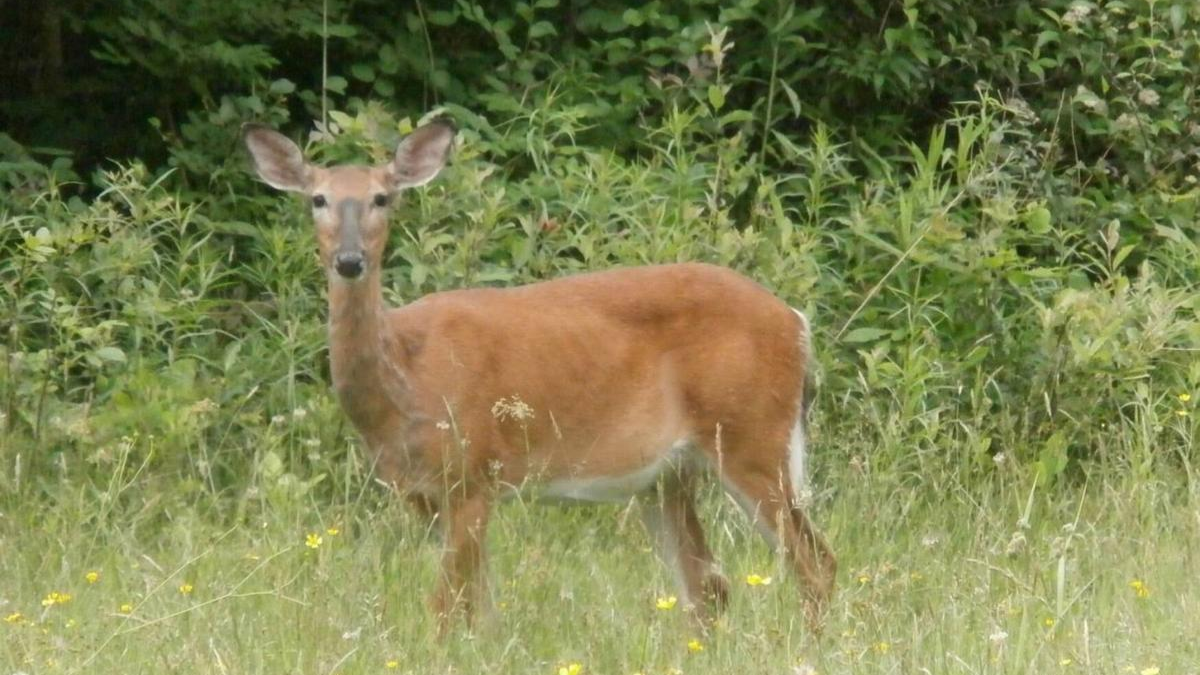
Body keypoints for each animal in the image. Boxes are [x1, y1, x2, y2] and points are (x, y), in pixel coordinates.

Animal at [243, 117, 840, 629]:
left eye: (381, 197)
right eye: (318, 199)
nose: (349, 261)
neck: (407, 379)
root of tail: (795, 321)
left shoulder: (473, 472)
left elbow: (448, 607)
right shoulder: (423, 494)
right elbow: (480, 608)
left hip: (751, 435)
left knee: (814, 562)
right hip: (667, 475)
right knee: (709, 584)